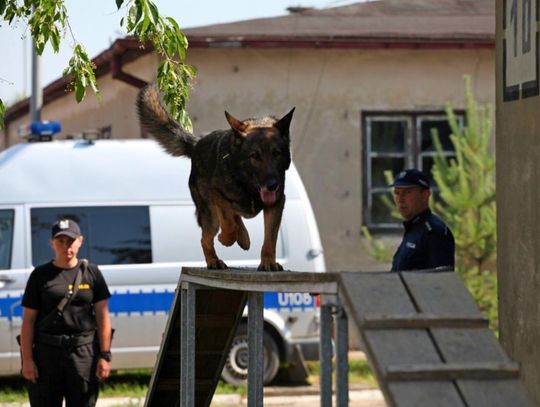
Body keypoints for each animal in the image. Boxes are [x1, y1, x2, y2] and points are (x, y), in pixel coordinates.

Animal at [137, 85, 294, 270]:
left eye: (277, 153)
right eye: (254, 156)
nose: (272, 185)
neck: (246, 185)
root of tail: (197, 144)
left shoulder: (276, 203)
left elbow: (270, 237)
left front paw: (268, 262)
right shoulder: (217, 194)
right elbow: (228, 224)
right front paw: (225, 239)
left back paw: (243, 237)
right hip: (210, 214)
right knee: (206, 237)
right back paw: (214, 259)